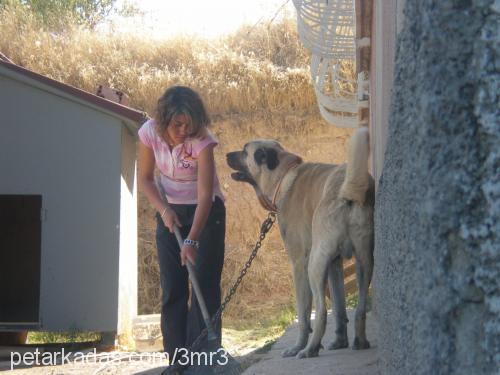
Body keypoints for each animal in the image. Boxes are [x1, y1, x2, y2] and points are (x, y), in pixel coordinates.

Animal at [227, 129, 376, 358]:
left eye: (245, 151)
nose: (226, 155)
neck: (283, 175)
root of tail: (346, 192)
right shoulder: (335, 264)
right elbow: (339, 307)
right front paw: (340, 340)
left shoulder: (298, 264)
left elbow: (304, 315)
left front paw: (298, 345)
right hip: (364, 260)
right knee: (359, 308)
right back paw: (360, 340)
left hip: (314, 265)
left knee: (321, 312)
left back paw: (309, 349)